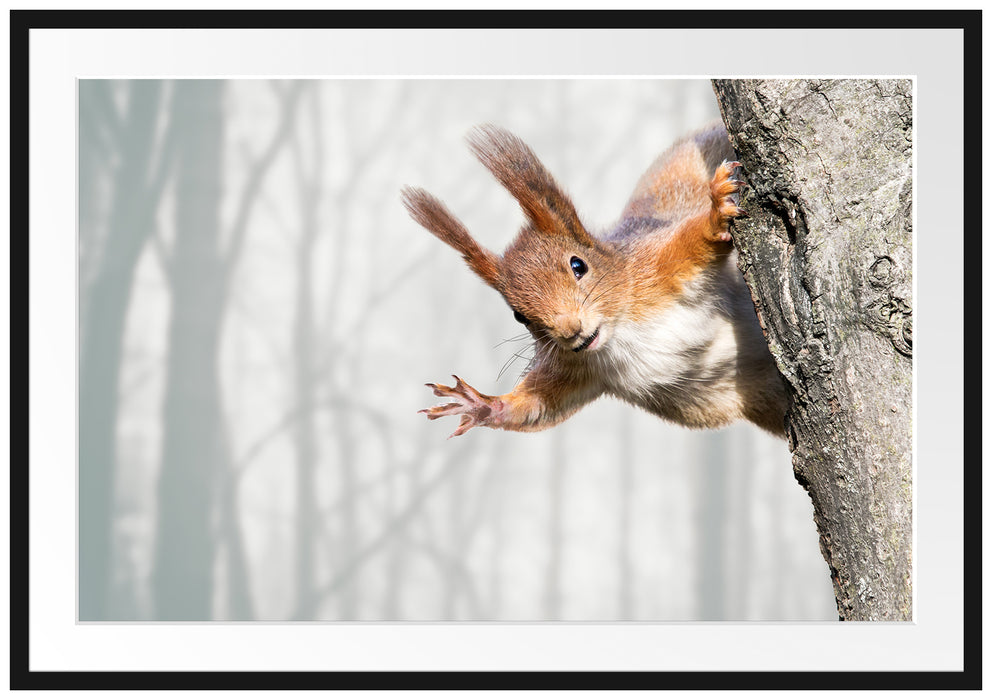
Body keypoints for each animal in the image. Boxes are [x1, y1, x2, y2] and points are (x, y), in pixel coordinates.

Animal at [401, 122, 788, 439]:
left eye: (578, 265)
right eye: (518, 316)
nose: (570, 331)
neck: (620, 332)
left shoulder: (655, 267)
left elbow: (692, 241)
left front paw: (715, 213)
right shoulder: (576, 368)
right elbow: (538, 406)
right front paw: (481, 404)